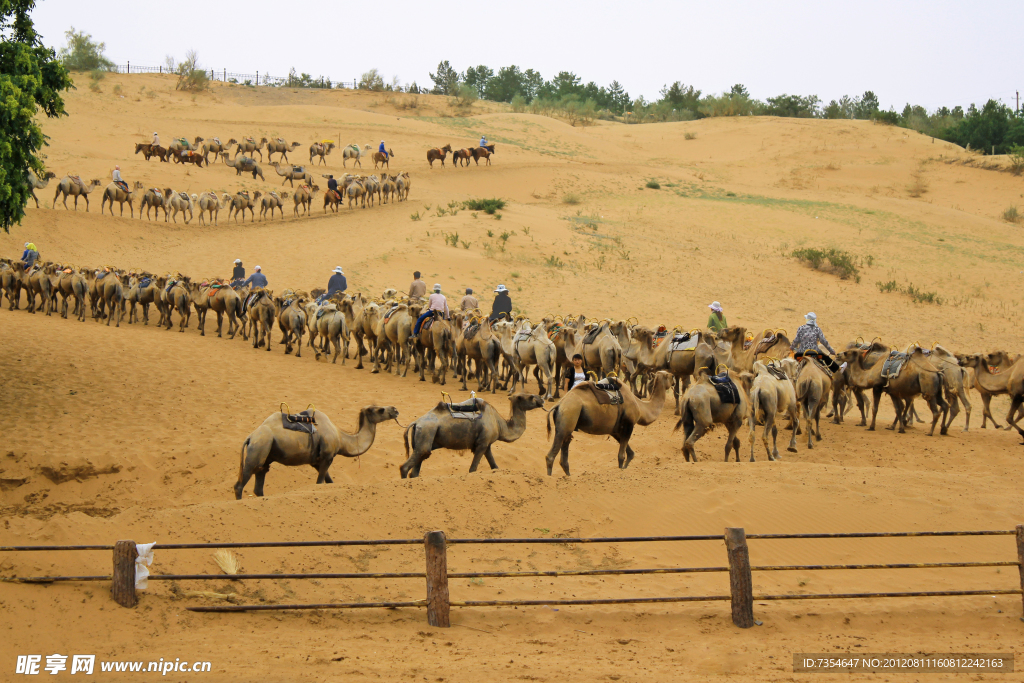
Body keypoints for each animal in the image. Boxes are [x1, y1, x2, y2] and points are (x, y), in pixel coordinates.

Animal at [235, 403, 399, 499]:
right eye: (380, 409)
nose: (395, 409)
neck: (341, 439)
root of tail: (250, 437)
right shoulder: (327, 458)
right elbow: (320, 483)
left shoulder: (317, 462)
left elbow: (330, 481)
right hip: (258, 448)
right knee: (240, 485)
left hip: (265, 457)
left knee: (259, 484)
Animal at [399, 393, 548, 479]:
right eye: (530, 397)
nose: (542, 399)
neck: (500, 424)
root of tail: (416, 422)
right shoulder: (481, 444)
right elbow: (473, 469)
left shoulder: (487, 445)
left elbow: (494, 466)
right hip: (426, 431)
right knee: (406, 466)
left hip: (424, 437)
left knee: (417, 468)